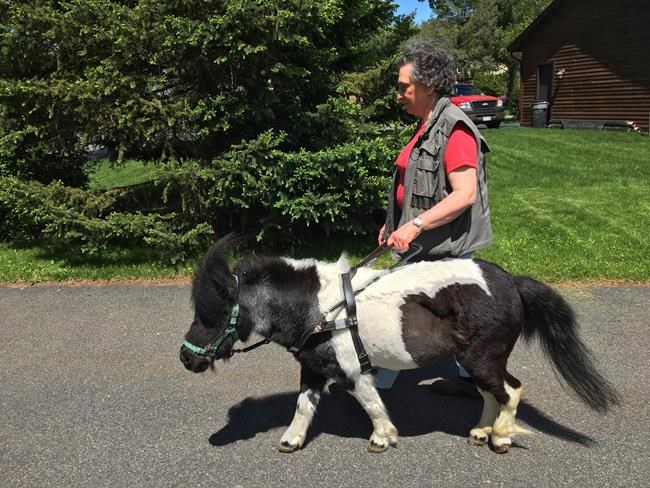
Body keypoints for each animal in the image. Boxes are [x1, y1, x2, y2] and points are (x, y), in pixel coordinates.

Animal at [179, 236, 620, 454]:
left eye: (213, 314)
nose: (185, 357)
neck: (322, 309)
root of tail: (510, 281)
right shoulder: (313, 367)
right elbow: (304, 405)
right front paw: (291, 440)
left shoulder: (352, 372)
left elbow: (371, 404)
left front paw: (383, 437)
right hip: (474, 359)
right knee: (489, 393)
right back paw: (481, 431)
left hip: (484, 357)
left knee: (510, 391)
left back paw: (500, 437)